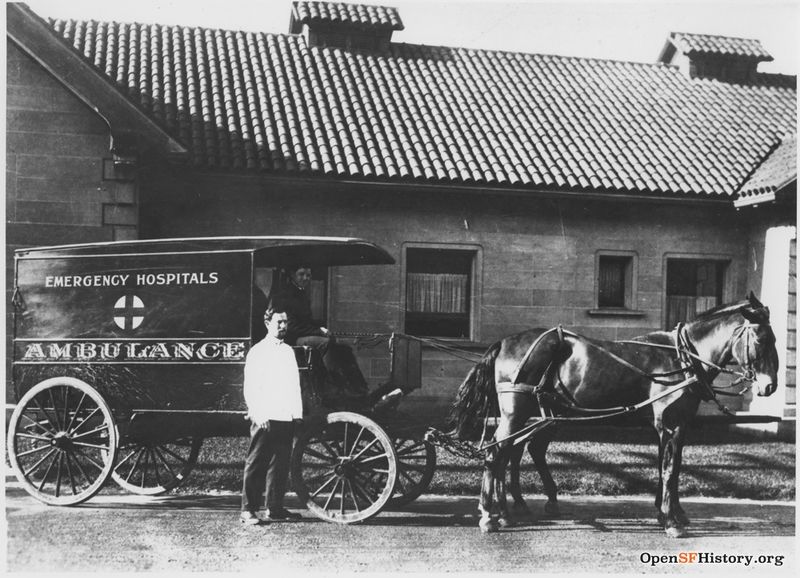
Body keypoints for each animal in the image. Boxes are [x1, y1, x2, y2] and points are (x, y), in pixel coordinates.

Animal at [454, 292, 780, 536]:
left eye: (775, 340)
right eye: (761, 340)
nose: (770, 386)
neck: (682, 357)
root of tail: (504, 342)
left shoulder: (675, 425)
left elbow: (670, 468)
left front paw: (671, 513)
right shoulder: (670, 424)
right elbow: (669, 469)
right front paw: (671, 521)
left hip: (538, 415)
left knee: (513, 451)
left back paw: (507, 510)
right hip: (516, 414)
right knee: (496, 453)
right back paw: (490, 515)